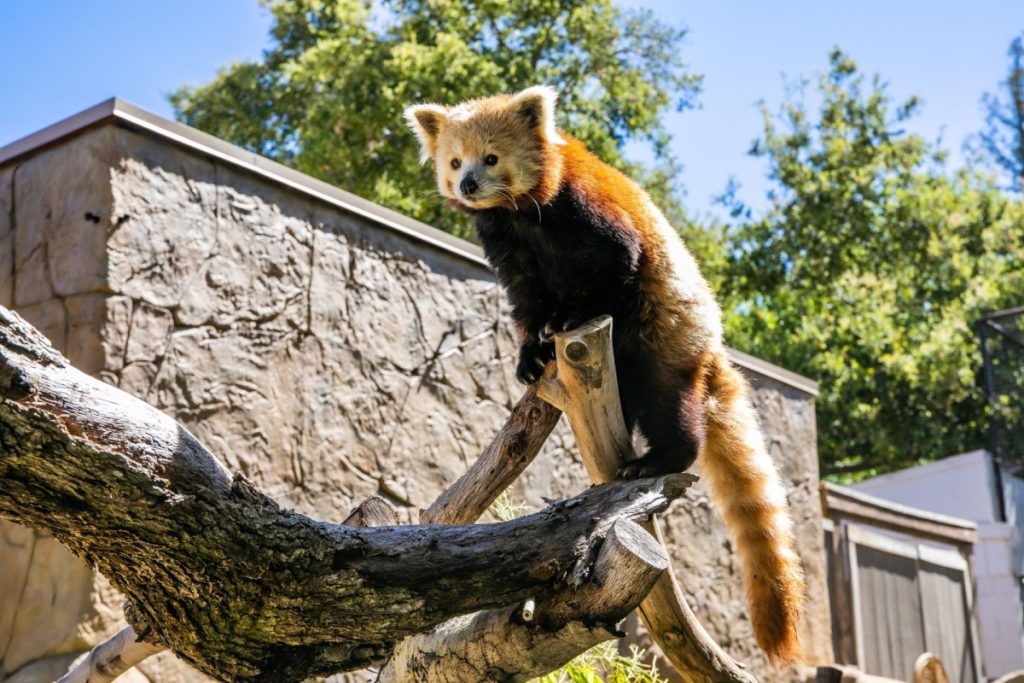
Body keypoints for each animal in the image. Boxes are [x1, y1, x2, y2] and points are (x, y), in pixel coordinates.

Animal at [403, 85, 802, 667]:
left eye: (491, 159)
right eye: (455, 162)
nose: (468, 184)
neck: (523, 215)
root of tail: (711, 348)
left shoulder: (584, 215)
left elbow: (614, 265)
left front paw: (568, 317)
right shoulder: (507, 242)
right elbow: (527, 302)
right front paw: (531, 351)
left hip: (661, 343)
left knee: (667, 405)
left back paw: (658, 459)